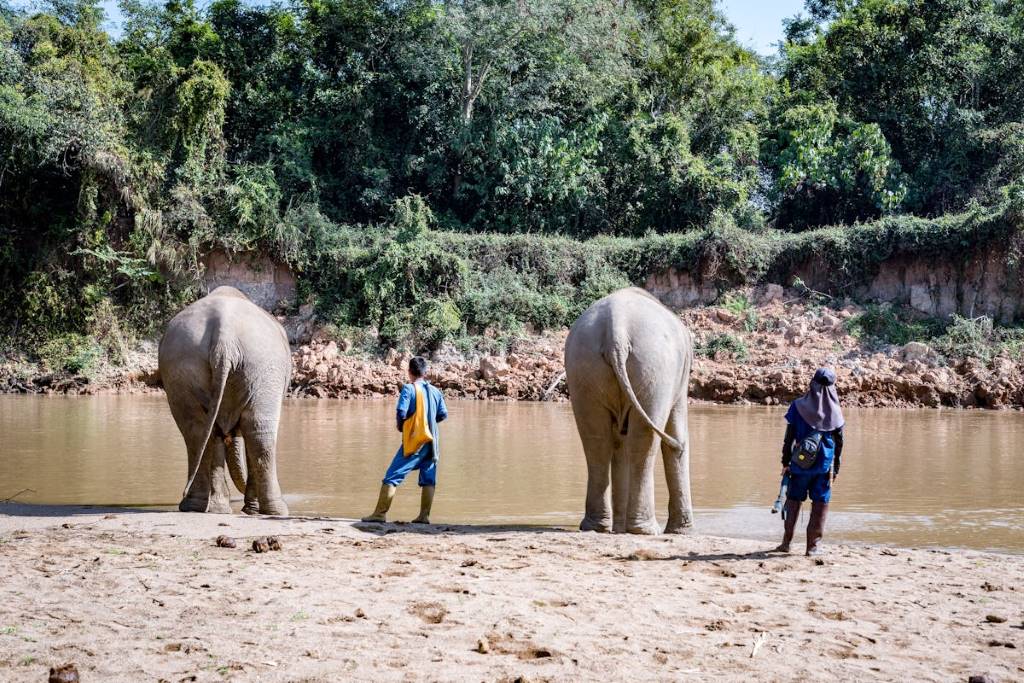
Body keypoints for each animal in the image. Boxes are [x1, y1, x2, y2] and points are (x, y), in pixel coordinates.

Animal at [158, 285, 291, 515]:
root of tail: (225, 335)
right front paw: (250, 509)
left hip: (183, 366)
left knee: (197, 431)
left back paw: (197, 507)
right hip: (264, 365)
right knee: (258, 429)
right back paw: (276, 511)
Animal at [564, 287, 694, 535]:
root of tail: (617, 330)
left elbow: (619, 443)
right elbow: (677, 437)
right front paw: (682, 532)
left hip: (583, 368)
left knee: (596, 441)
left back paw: (597, 527)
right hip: (655, 369)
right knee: (644, 442)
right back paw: (646, 530)